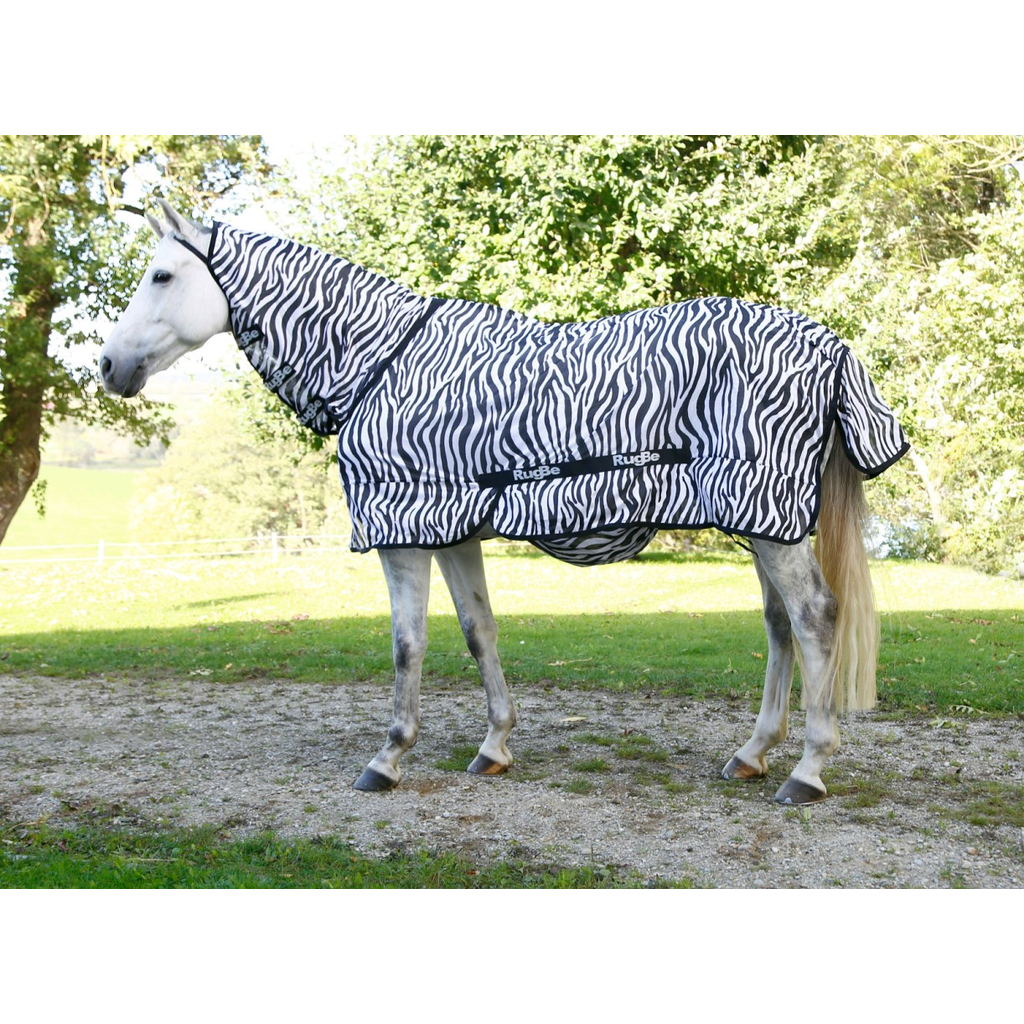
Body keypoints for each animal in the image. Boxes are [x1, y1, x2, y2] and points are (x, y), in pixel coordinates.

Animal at [100, 200, 909, 805]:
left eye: (162, 273)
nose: (107, 366)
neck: (380, 364)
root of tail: (831, 346)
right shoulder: (452, 529)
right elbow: (478, 630)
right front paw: (494, 746)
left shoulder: (402, 533)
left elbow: (408, 645)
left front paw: (388, 759)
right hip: (758, 518)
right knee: (779, 625)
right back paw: (753, 753)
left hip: (770, 522)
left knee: (815, 618)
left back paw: (808, 770)